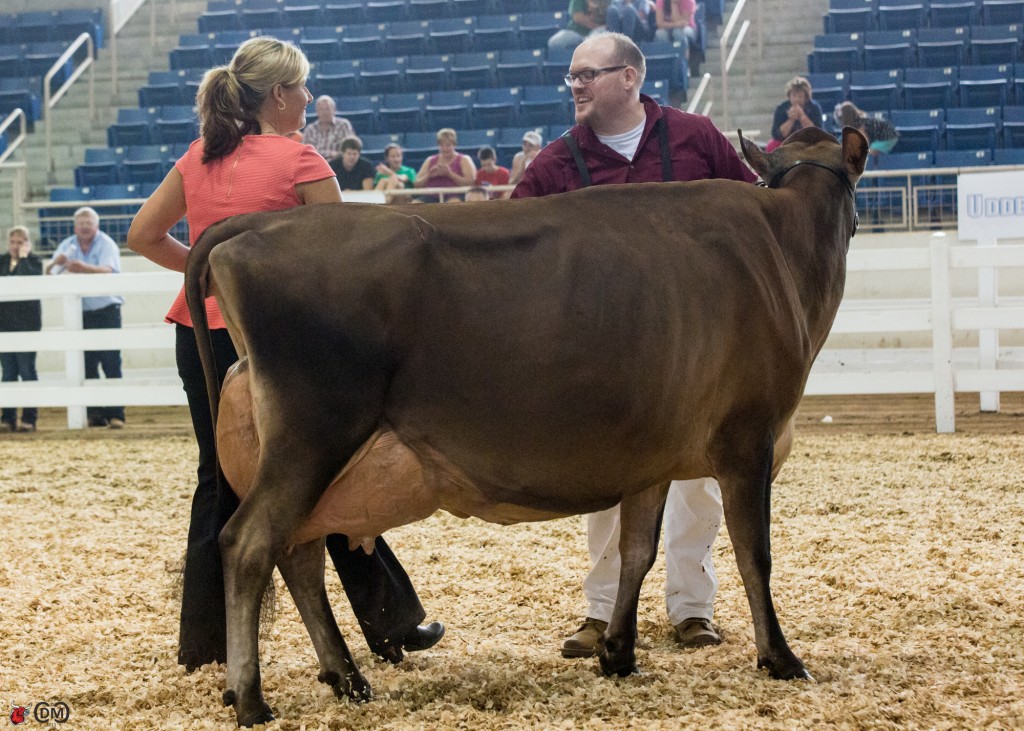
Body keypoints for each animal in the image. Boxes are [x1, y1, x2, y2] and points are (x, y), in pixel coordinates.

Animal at [186, 127, 868, 726]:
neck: (780, 243)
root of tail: (257, 226)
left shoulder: (652, 455)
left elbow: (637, 552)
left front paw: (618, 653)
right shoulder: (748, 437)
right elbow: (756, 554)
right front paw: (781, 658)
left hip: (310, 454)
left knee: (298, 554)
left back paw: (346, 678)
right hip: (314, 433)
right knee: (249, 544)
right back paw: (252, 699)